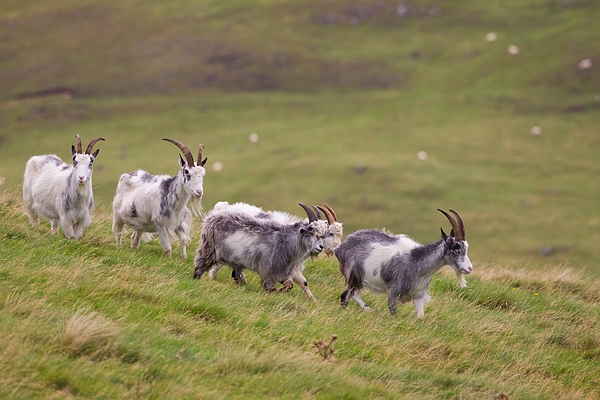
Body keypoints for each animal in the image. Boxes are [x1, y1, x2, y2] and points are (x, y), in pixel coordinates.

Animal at [336, 209, 472, 318]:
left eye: (466, 248)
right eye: (456, 250)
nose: (470, 268)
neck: (416, 264)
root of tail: (341, 247)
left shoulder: (418, 296)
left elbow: (420, 317)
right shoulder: (393, 292)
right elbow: (393, 313)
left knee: (351, 295)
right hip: (354, 276)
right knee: (346, 296)